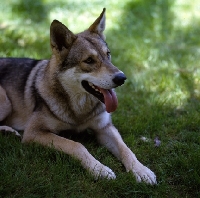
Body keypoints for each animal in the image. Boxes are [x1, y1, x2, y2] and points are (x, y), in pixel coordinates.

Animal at [0, 7, 156, 184]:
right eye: (89, 60)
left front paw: (141, 170)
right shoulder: (34, 132)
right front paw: (99, 169)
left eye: (108, 54)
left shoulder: (104, 127)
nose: (122, 78)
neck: (80, 112)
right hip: (5, 101)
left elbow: (126, 149)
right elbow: (76, 145)